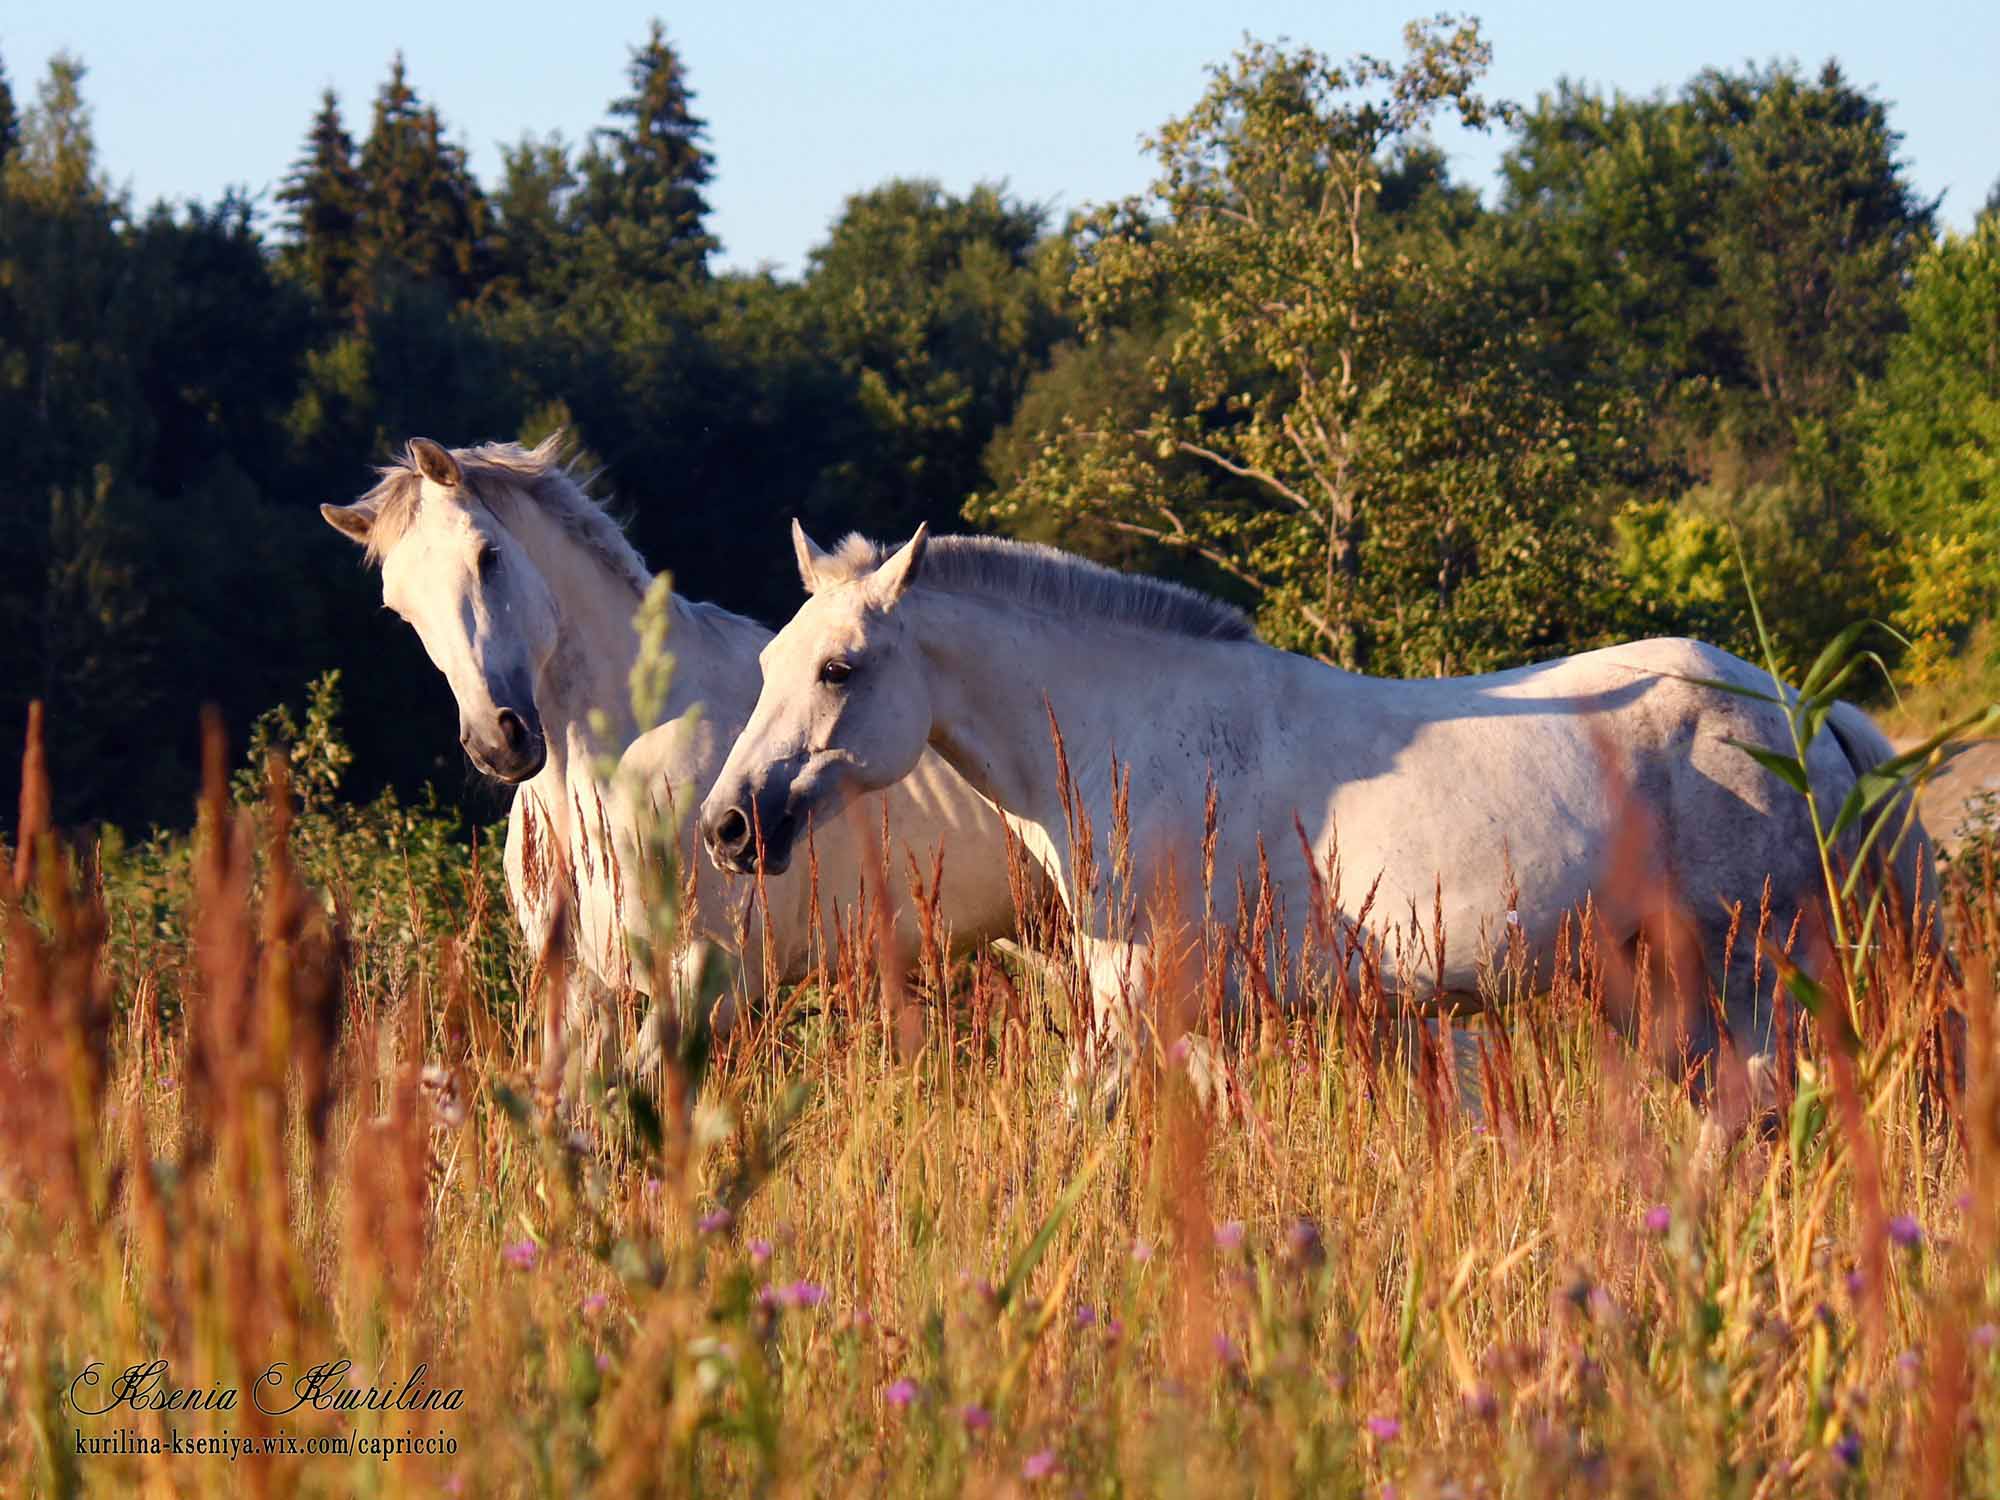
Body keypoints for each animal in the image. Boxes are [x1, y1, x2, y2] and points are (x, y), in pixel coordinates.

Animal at [704, 524, 1936, 1088]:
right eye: (766, 663)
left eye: (840, 670)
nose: (728, 828)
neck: (1134, 744)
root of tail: (1807, 713)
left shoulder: (1139, 1013)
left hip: (1750, 971)